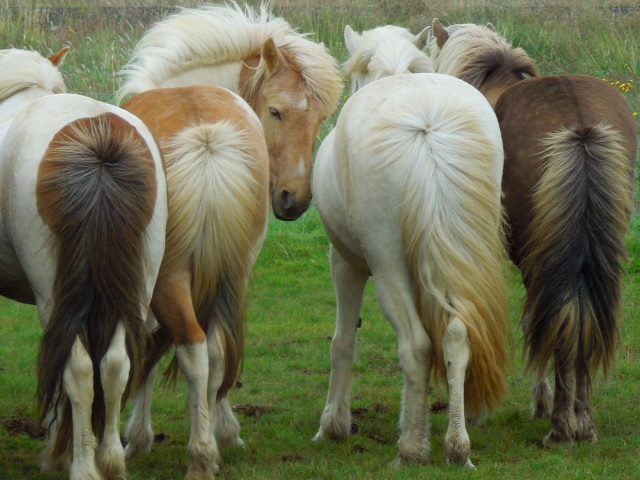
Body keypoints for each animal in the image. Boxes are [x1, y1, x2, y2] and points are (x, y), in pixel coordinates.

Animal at [0, 47, 168, 480]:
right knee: (115, 364)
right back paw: (110, 459)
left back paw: (80, 465)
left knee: (75, 368)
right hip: (138, 284)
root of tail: (98, 134)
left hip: (54, 293)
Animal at [120, 86, 268, 480]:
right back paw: (210, 448)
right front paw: (228, 432)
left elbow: (147, 355)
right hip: (232, 275)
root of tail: (207, 142)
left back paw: (199, 457)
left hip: (166, 281)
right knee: (215, 352)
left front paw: (137, 439)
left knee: (192, 347)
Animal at [312, 72, 510, 468]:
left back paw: (411, 450)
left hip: (385, 262)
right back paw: (457, 447)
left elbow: (343, 342)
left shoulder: (344, 264)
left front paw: (332, 426)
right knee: (456, 334)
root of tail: (426, 124)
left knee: (416, 345)